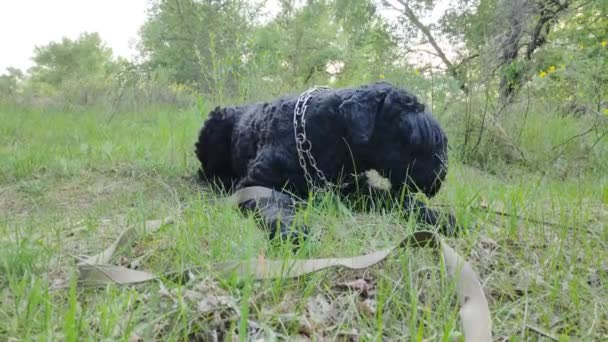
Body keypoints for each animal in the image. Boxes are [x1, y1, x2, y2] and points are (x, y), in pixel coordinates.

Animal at [195, 82, 456, 240]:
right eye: (419, 136)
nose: (441, 174)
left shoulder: (356, 190)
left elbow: (402, 202)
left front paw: (440, 218)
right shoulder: (256, 184)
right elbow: (274, 206)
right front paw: (292, 230)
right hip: (214, 126)